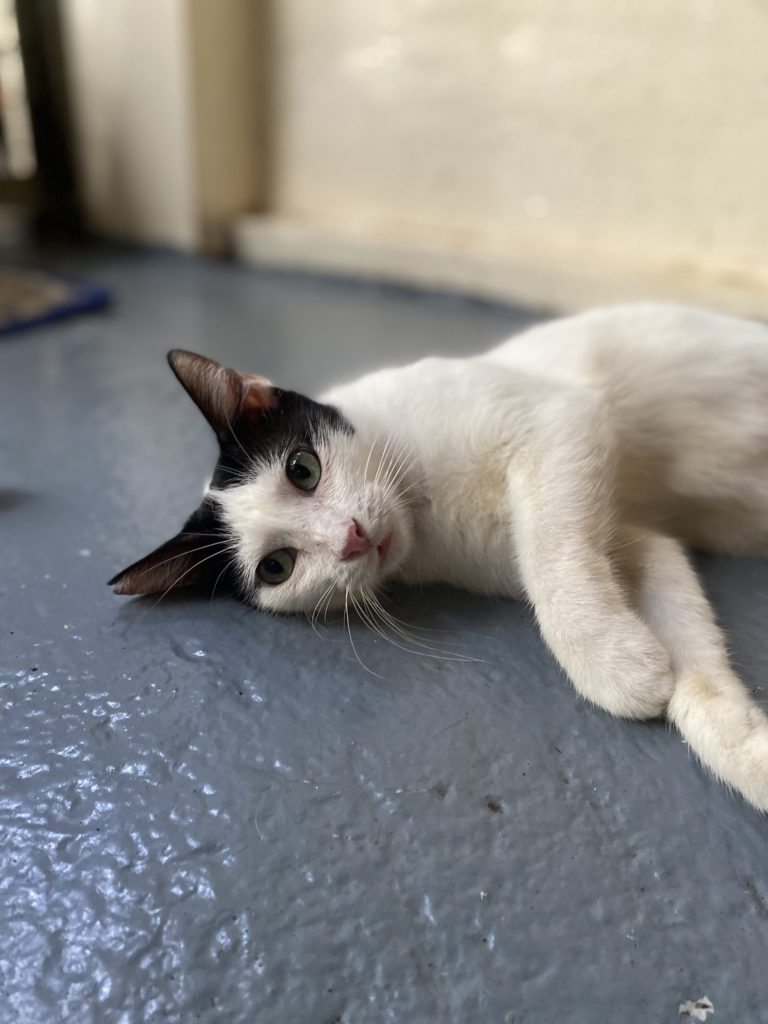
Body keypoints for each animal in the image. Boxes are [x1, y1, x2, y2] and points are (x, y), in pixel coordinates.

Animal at [111, 299, 768, 811]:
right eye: (277, 566)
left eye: (303, 469)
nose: (351, 536)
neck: (424, 512)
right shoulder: (636, 541)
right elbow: (692, 659)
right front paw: (742, 748)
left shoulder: (560, 421)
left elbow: (550, 554)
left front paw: (604, 660)